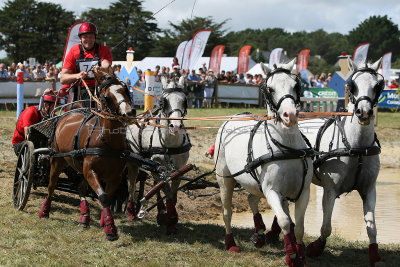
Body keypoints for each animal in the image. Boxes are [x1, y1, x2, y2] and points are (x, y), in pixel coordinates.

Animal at [39, 67, 136, 243]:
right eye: (106, 96)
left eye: (125, 90)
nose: (129, 112)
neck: (107, 140)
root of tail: (66, 115)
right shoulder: (90, 171)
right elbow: (103, 197)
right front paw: (111, 230)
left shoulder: (115, 176)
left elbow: (107, 197)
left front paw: (104, 223)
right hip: (57, 160)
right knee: (51, 185)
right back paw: (44, 211)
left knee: (81, 189)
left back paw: (84, 217)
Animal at [126, 76, 192, 236]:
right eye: (164, 101)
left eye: (184, 100)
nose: (175, 126)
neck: (170, 144)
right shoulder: (157, 167)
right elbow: (166, 191)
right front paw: (170, 219)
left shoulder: (179, 169)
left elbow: (172, 194)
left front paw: (169, 216)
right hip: (133, 162)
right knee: (131, 184)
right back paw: (131, 211)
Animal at [216, 59, 312, 267]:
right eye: (270, 88)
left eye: (295, 85)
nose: (290, 115)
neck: (286, 148)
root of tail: (233, 117)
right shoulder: (272, 191)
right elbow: (284, 221)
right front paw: (291, 254)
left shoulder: (303, 192)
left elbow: (299, 225)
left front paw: (300, 253)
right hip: (225, 180)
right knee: (227, 212)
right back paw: (231, 243)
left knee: (252, 198)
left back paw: (259, 231)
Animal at [296, 59, 384, 266]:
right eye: (351, 85)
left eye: (377, 86)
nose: (364, 112)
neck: (356, 148)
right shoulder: (330, 190)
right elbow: (326, 227)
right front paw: (315, 248)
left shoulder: (369, 189)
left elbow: (372, 226)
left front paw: (375, 255)